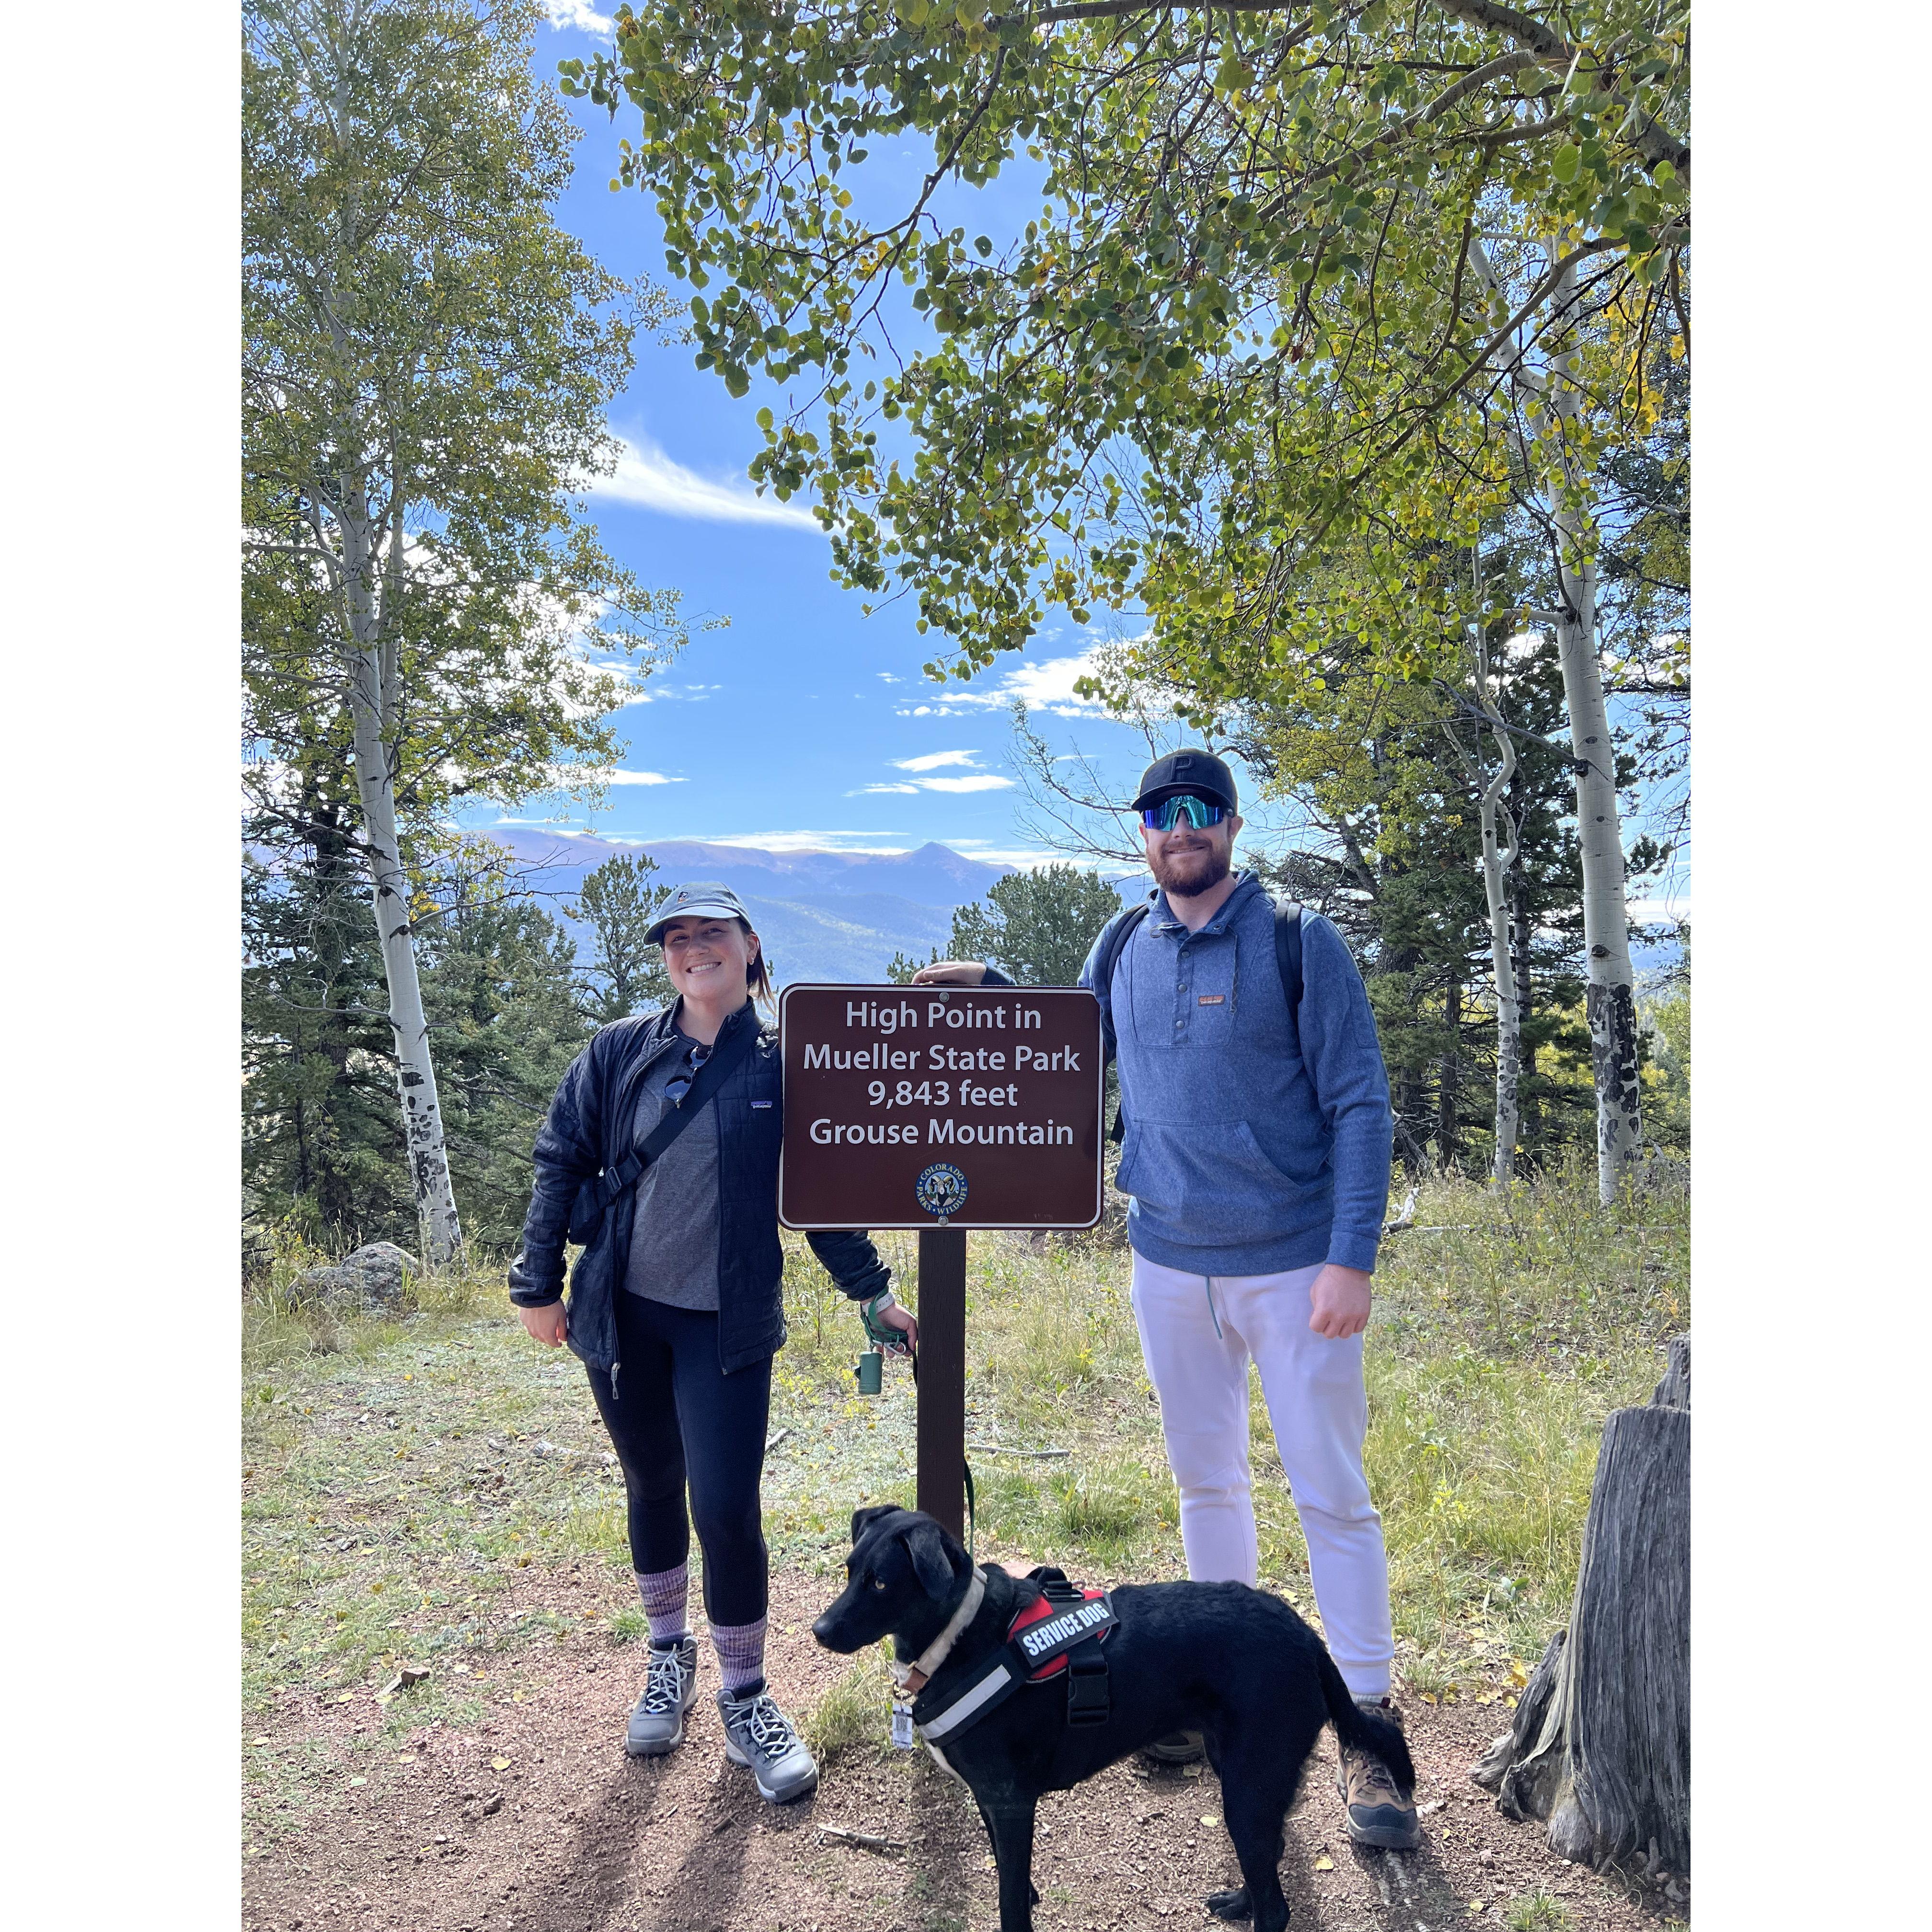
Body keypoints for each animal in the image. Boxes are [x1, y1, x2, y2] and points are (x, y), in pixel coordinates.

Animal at [807, 1506, 1414, 1932]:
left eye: (881, 1582)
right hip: (1247, 1780)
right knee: (1270, 1861)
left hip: (1249, 1784)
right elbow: (1011, 1875)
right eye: (850, 1570)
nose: (820, 1629)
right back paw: (1239, 1899)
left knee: (1277, 1908)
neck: (962, 1635)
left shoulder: (1010, 1802)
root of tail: (1309, 1639)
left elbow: (1010, 1900)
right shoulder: (989, 1800)